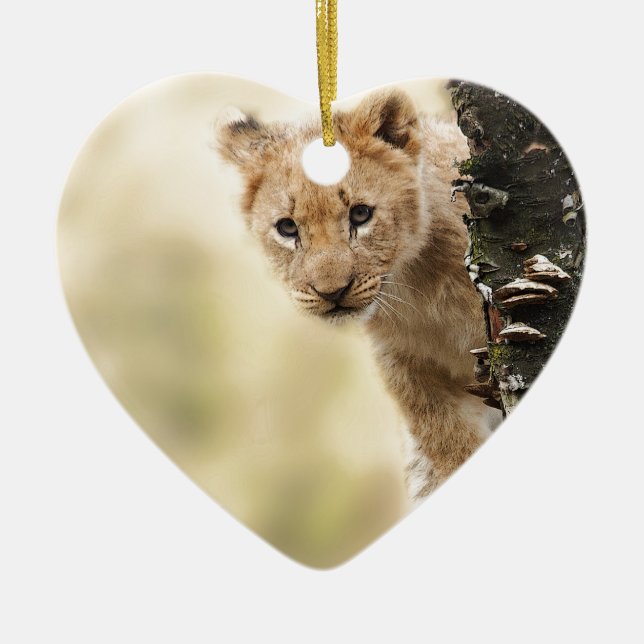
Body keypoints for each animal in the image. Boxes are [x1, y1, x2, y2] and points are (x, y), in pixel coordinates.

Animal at [216, 88, 501, 501]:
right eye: (287, 228)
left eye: (361, 214)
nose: (331, 292)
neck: (418, 288)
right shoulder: (407, 367)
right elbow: (449, 444)